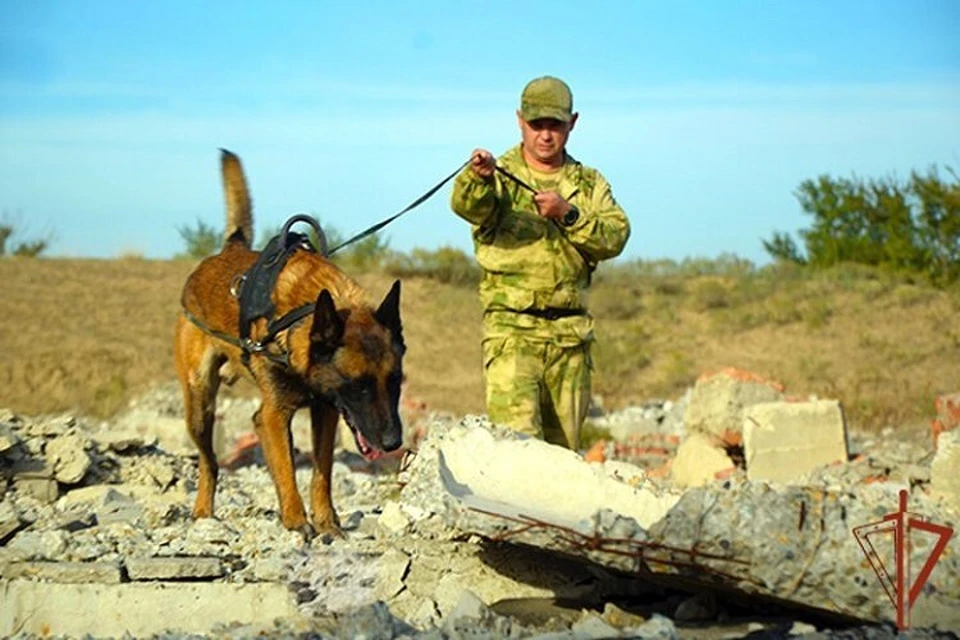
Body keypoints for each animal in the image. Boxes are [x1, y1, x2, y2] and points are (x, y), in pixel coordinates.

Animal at [174, 150, 404, 540]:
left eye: (395, 383)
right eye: (358, 387)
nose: (392, 443)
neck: (303, 315)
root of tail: (226, 251)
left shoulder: (326, 412)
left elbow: (321, 474)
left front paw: (327, 522)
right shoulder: (271, 416)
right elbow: (286, 470)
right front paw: (297, 521)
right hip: (199, 407)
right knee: (209, 463)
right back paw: (204, 511)